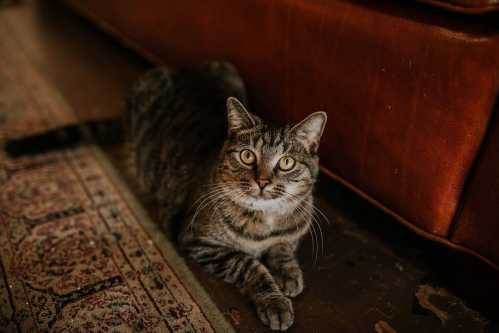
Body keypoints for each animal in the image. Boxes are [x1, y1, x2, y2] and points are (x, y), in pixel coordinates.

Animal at [7, 62, 330, 330]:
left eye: (286, 162)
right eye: (247, 156)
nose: (262, 181)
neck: (265, 221)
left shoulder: (292, 232)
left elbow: (283, 247)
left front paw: (288, 274)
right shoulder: (198, 241)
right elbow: (250, 264)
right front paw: (274, 301)